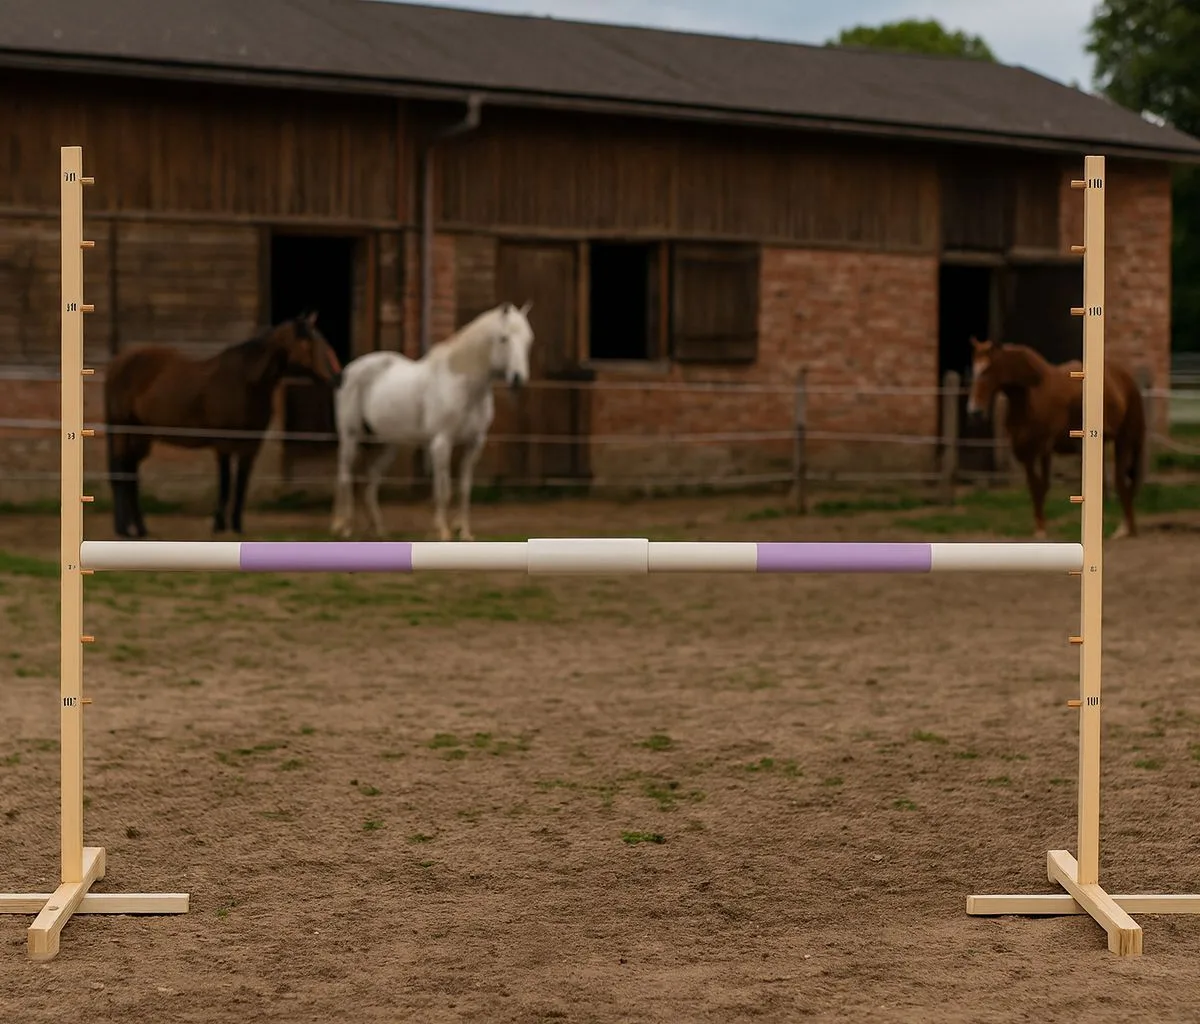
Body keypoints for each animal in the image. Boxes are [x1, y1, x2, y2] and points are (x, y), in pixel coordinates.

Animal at [103, 312, 342, 539]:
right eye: (307, 342)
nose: (336, 377)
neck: (245, 382)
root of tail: (117, 363)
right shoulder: (223, 444)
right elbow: (226, 482)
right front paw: (219, 525)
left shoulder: (251, 446)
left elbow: (241, 484)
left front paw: (236, 526)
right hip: (122, 430)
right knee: (120, 470)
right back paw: (123, 530)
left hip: (139, 435)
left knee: (130, 474)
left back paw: (139, 529)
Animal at [330, 301, 534, 541]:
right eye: (504, 338)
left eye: (528, 340)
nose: (518, 379)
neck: (462, 385)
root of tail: (348, 371)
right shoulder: (441, 444)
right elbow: (443, 490)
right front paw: (442, 531)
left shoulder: (474, 444)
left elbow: (464, 489)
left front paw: (464, 532)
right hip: (351, 437)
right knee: (345, 476)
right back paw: (345, 527)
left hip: (386, 444)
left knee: (370, 481)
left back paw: (378, 530)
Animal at [965, 336, 1146, 540]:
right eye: (974, 369)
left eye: (988, 369)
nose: (974, 412)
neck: (1031, 395)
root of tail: (1126, 378)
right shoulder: (1026, 451)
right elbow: (1035, 487)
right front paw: (1039, 528)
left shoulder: (1043, 447)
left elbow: (1042, 485)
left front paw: (1042, 530)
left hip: (1124, 440)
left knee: (1121, 482)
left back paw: (1127, 529)